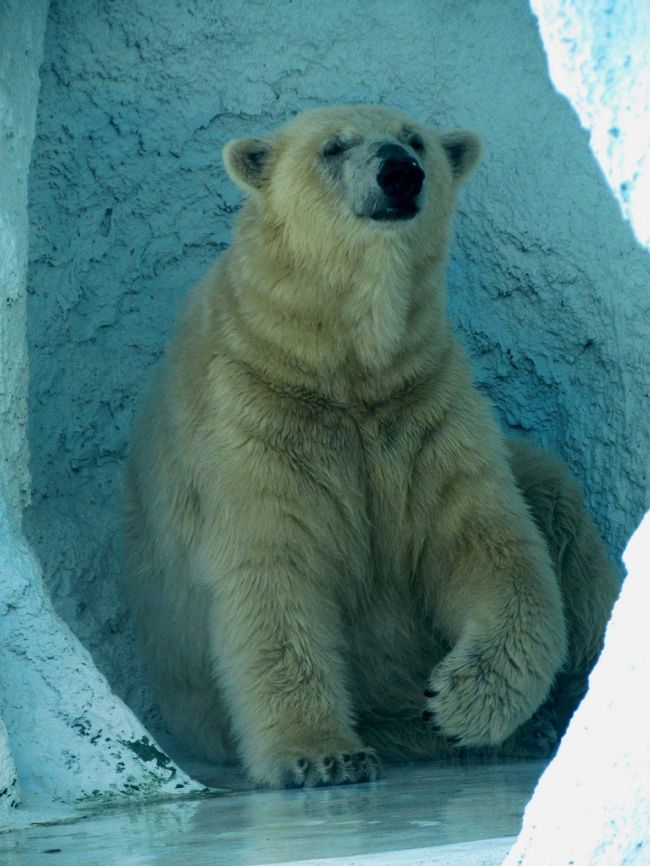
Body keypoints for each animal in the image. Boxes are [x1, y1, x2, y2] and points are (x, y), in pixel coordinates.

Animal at [123, 104, 616, 788]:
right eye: (333, 147)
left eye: (417, 141)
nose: (399, 172)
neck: (341, 367)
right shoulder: (254, 415)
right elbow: (273, 570)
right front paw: (321, 755)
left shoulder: (422, 405)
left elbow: (488, 544)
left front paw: (460, 700)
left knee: (555, 503)